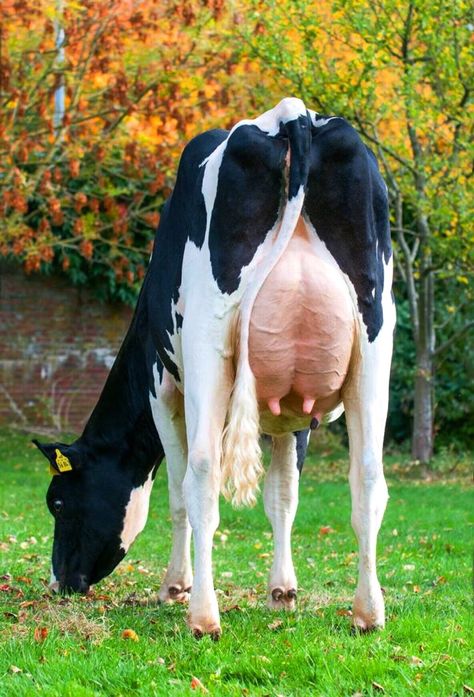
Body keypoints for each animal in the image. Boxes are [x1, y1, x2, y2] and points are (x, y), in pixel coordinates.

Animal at [35, 95, 394, 640]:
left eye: (57, 501)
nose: (60, 582)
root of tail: (291, 115)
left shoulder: (163, 389)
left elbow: (179, 495)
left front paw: (175, 586)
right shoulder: (295, 412)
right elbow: (283, 495)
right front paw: (283, 591)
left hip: (209, 345)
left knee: (201, 475)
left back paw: (203, 617)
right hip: (375, 343)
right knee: (369, 475)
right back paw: (368, 613)